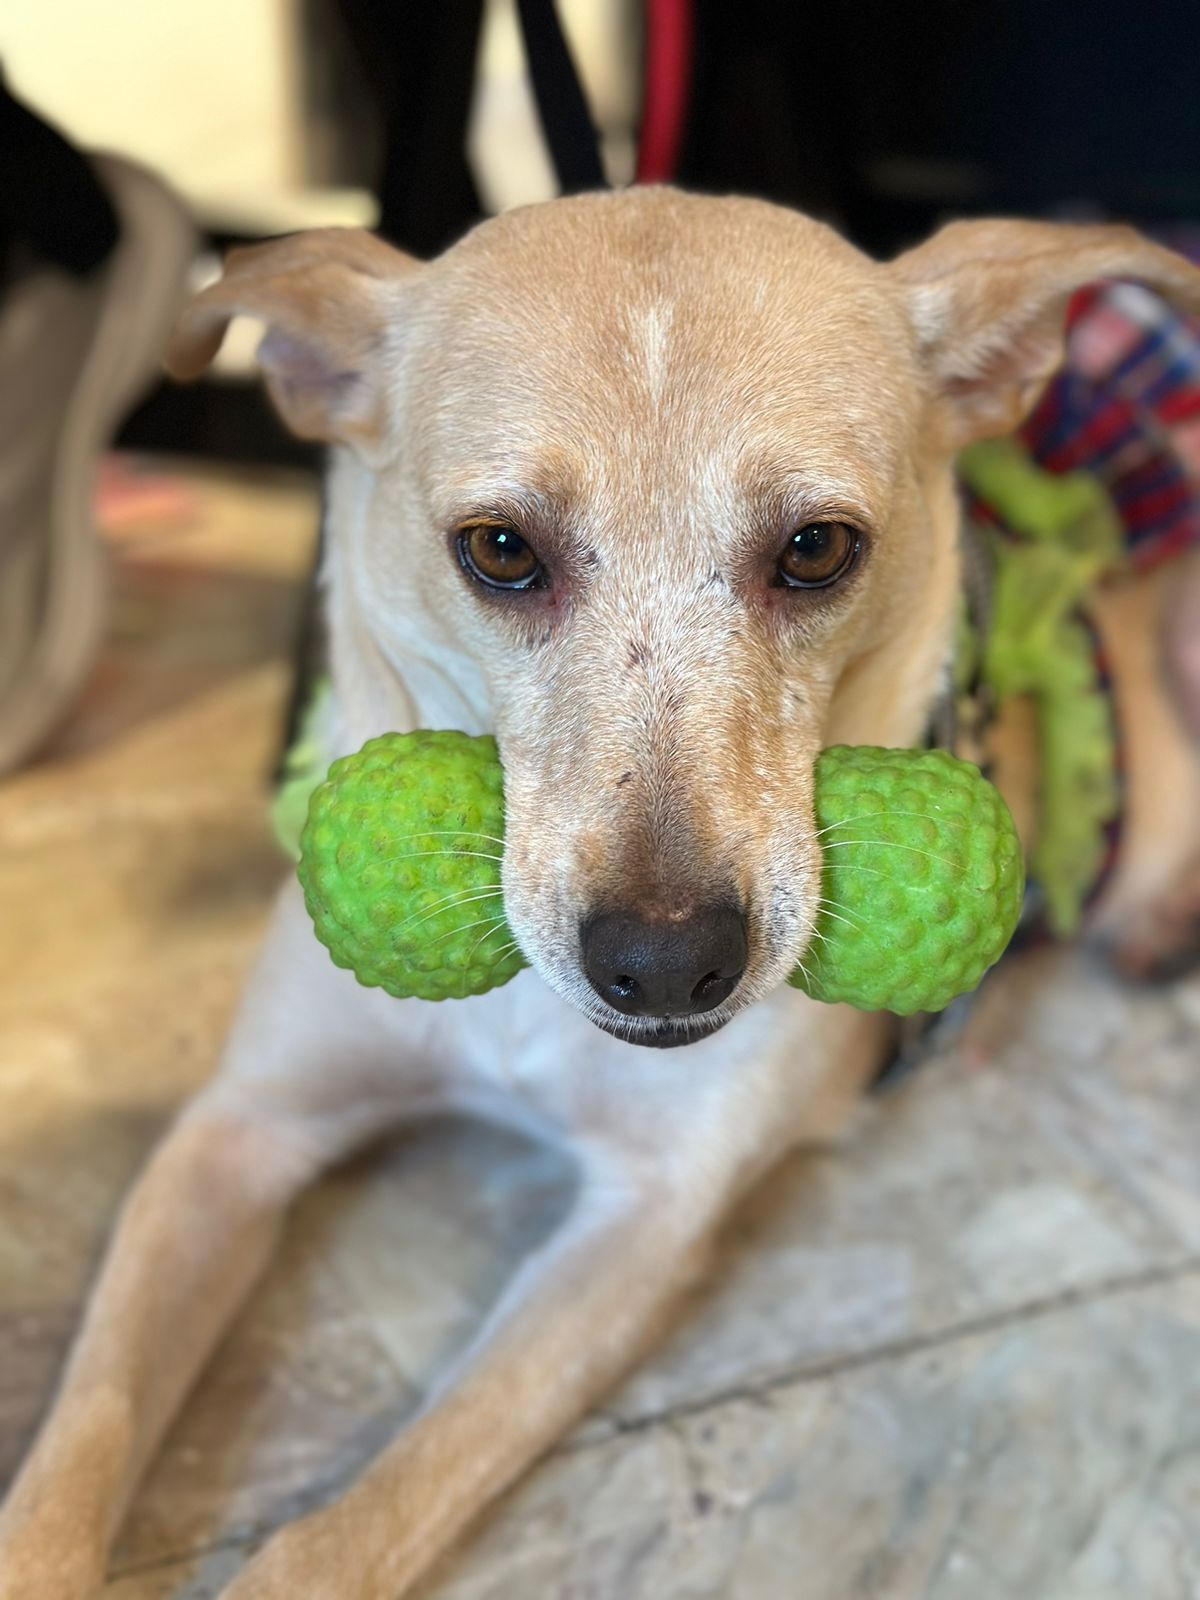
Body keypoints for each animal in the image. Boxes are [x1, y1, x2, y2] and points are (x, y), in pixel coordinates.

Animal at [3, 189, 1200, 1599]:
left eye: (817, 548)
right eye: (499, 549)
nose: (668, 962)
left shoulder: (645, 1220)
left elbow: (344, 1534)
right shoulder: (239, 1127)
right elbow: (81, 1436)